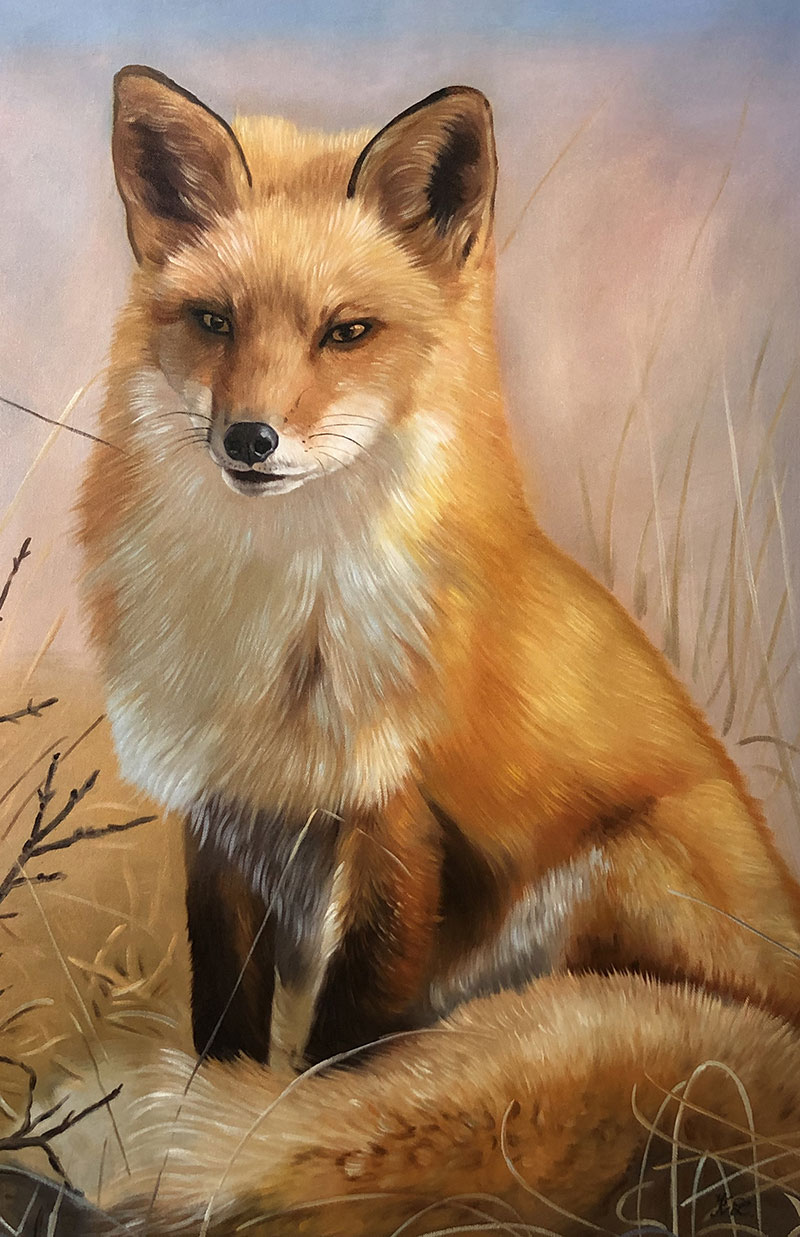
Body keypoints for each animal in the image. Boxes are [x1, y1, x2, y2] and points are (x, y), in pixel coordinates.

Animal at [9, 64, 800, 1233]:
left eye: (346, 331)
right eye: (212, 320)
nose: (249, 439)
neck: (273, 620)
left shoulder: (397, 816)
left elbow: (343, 1055)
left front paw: (270, 1120)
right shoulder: (225, 814)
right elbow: (224, 1020)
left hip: (617, 877)